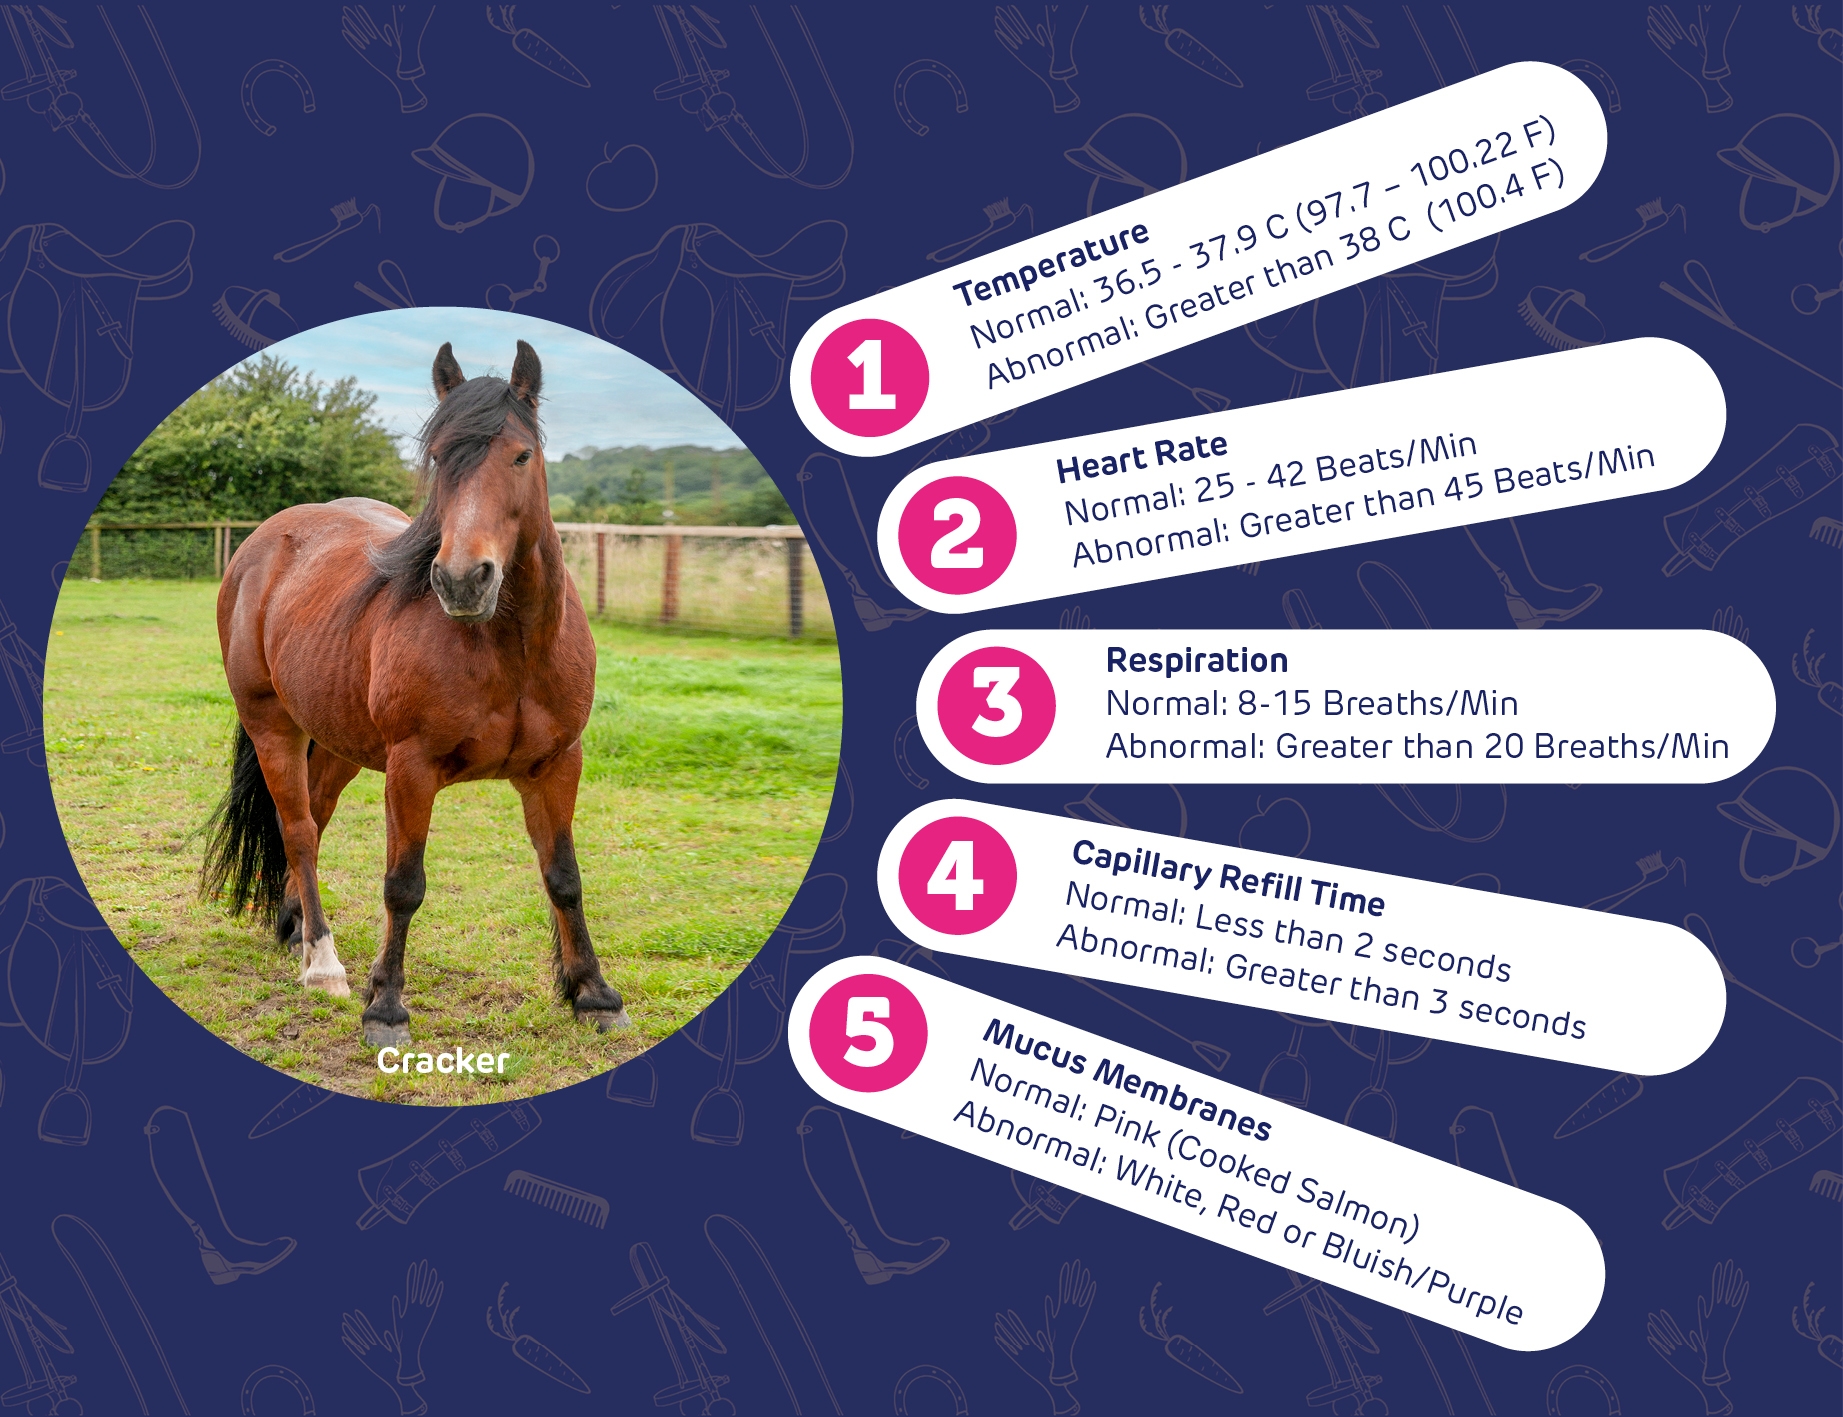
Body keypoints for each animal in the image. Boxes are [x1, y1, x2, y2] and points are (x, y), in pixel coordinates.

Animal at [201, 340, 629, 1047]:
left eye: (521, 455)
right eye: (439, 459)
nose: (461, 580)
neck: (508, 648)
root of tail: (261, 544)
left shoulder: (557, 764)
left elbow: (563, 878)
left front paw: (593, 994)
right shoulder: (412, 768)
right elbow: (404, 885)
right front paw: (386, 1007)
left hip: (338, 741)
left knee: (316, 814)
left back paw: (295, 927)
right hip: (273, 726)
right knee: (300, 831)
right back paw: (322, 961)